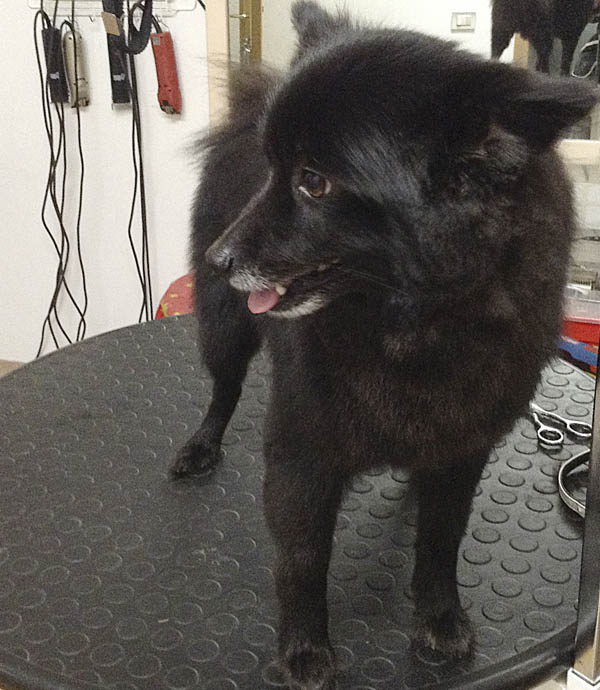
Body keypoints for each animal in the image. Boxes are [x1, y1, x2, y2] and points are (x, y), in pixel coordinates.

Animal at [171, 3, 595, 688]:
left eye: (314, 182)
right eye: (277, 172)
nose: (218, 257)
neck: (413, 324)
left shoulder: (463, 444)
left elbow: (441, 543)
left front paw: (440, 617)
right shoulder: (302, 449)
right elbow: (302, 557)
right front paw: (304, 648)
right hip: (224, 328)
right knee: (224, 389)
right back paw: (202, 444)